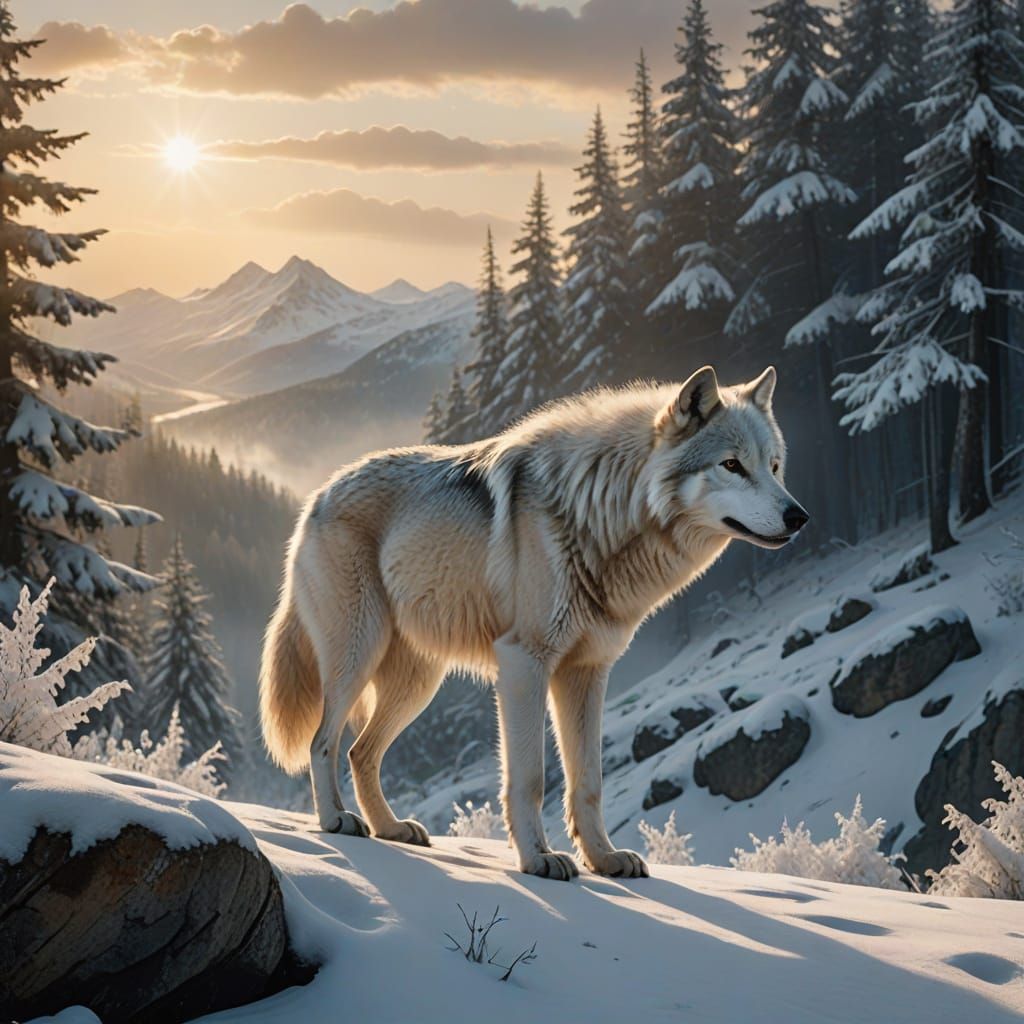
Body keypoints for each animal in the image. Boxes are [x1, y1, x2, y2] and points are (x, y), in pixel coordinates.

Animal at [259, 364, 808, 880]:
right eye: (732, 465)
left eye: (774, 466)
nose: (799, 517)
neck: (603, 513)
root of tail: (318, 495)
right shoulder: (524, 664)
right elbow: (530, 778)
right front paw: (538, 859)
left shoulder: (587, 673)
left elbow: (588, 782)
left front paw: (604, 859)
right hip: (359, 656)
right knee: (324, 741)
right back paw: (336, 820)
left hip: (418, 682)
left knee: (361, 752)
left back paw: (391, 828)